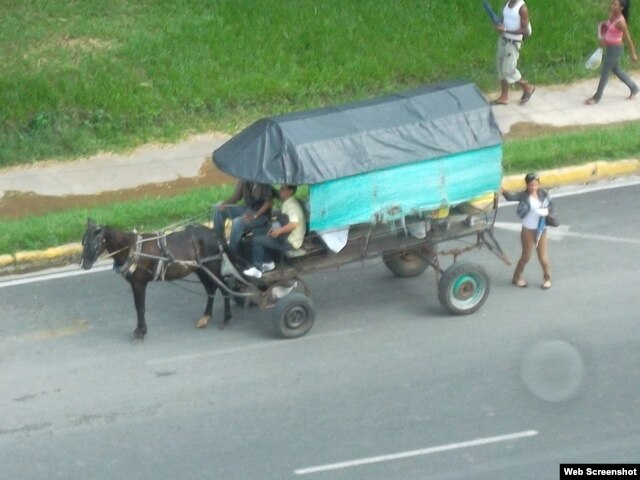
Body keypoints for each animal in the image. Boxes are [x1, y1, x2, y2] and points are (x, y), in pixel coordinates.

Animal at [79, 219, 230, 340]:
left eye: (95, 244)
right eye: (83, 242)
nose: (84, 265)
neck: (131, 249)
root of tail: (216, 234)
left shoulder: (139, 283)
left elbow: (140, 307)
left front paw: (141, 331)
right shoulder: (135, 284)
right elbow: (138, 306)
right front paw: (140, 330)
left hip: (213, 266)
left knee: (224, 288)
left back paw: (226, 319)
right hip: (201, 269)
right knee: (211, 289)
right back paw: (206, 317)